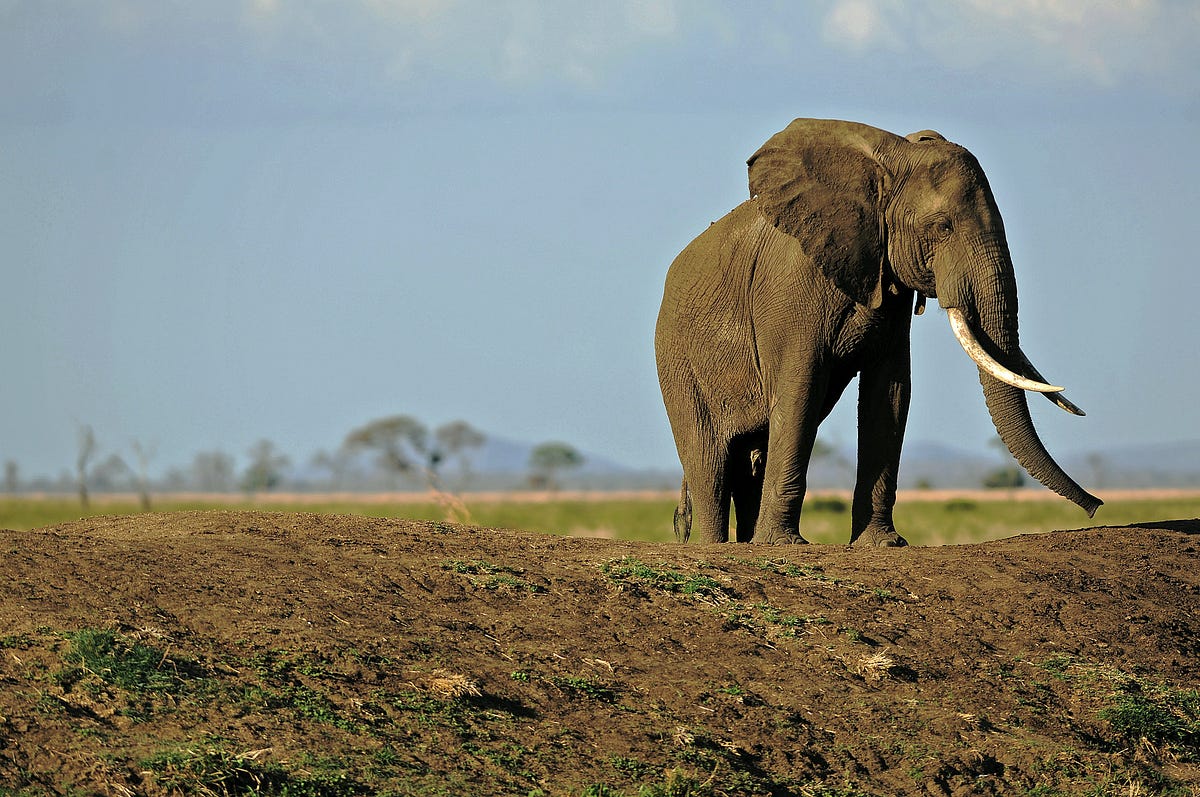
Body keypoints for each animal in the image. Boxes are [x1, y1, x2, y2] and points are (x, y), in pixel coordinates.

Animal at [652, 118, 1099, 547]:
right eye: (942, 228)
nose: (1096, 506)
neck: (887, 161)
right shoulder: (790, 287)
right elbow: (800, 391)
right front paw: (784, 545)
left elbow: (890, 393)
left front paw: (884, 543)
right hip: (676, 359)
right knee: (710, 460)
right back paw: (720, 544)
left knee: (750, 456)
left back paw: (747, 542)